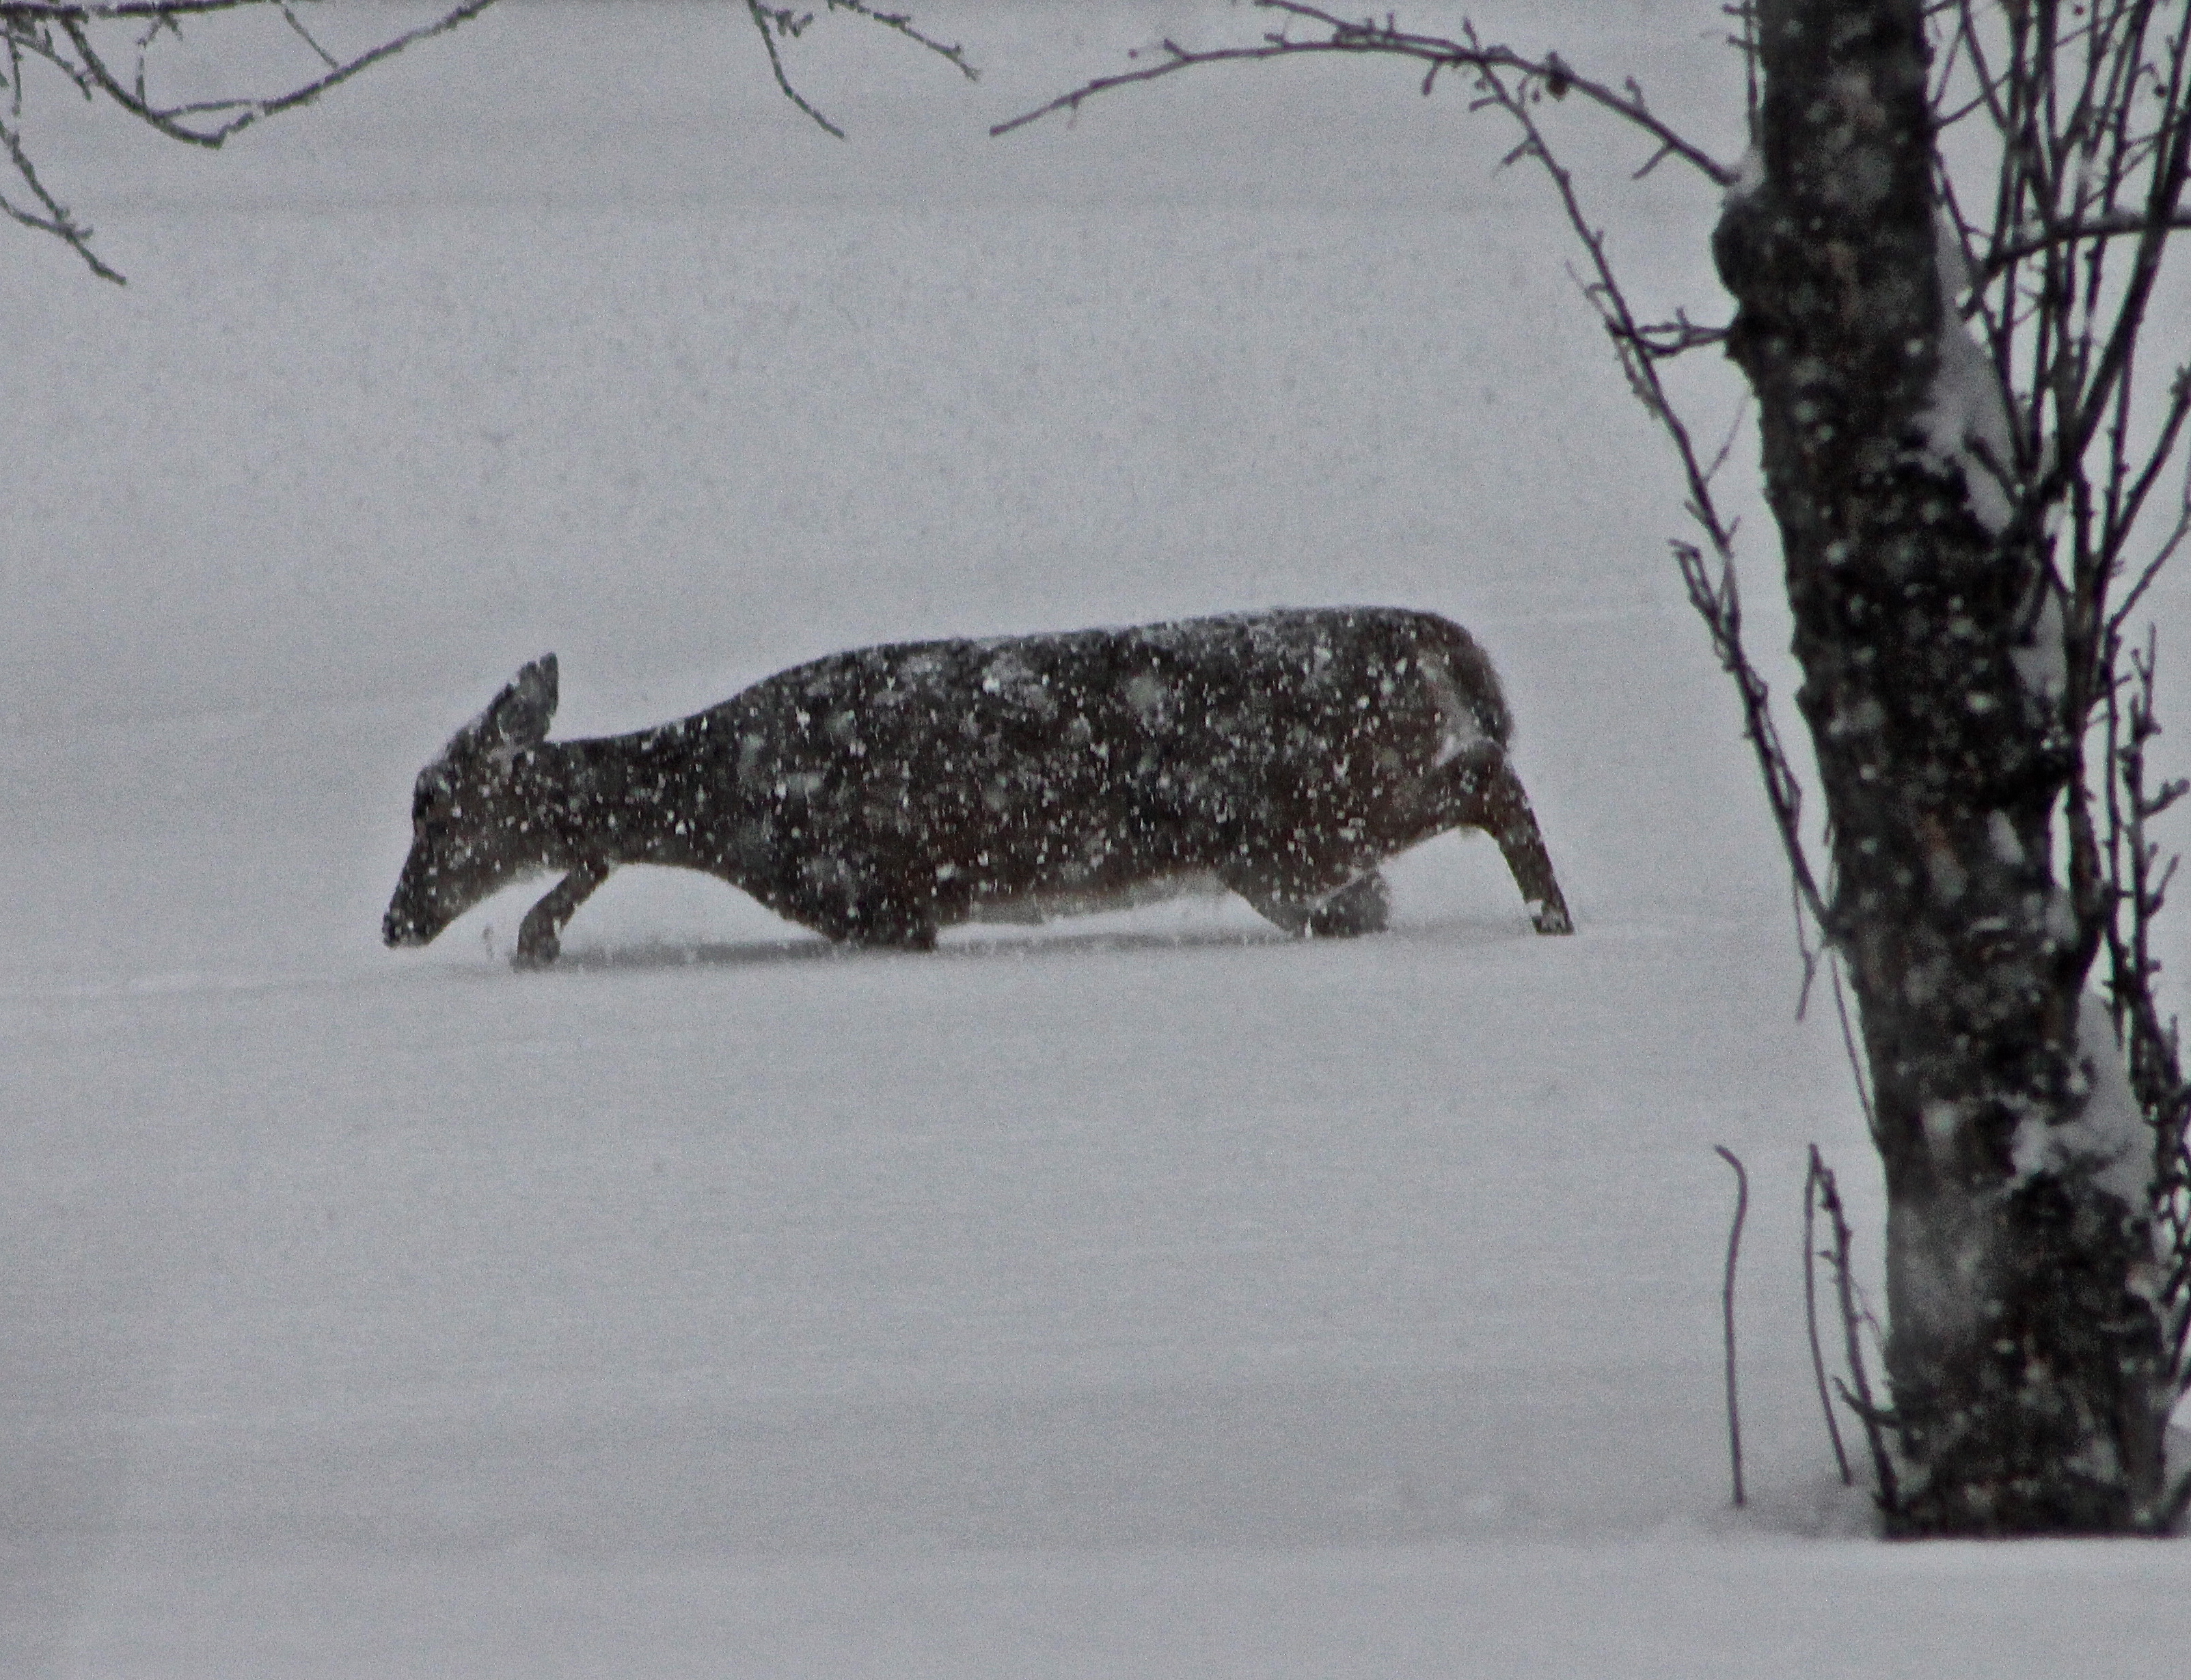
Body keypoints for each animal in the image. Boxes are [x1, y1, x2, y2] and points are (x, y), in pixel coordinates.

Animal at [382, 607, 1573, 966]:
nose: (395, 920)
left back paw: (1554, 918)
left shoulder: (878, 897)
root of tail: (1431, 637)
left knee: (1491, 777)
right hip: (1293, 859)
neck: (727, 800)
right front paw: (537, 932)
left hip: (1306, 815)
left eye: (429, 800)